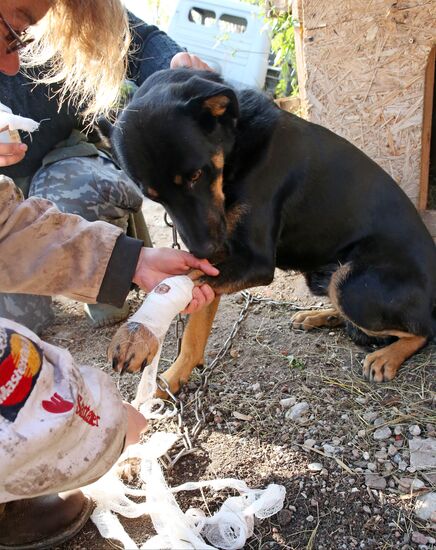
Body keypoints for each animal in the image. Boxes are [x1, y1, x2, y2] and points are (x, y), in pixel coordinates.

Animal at [106, 70, 436, 396]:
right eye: (152, 196)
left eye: (196, 175)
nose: (204, 250)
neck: (237, 148)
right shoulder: (223, 256)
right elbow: (194, 329)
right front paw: (173, 377)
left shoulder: (254, 261)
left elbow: (184, 281)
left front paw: (135, 337)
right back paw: (317, 316)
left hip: (351, 284)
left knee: (425, 329)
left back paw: (386, 356)